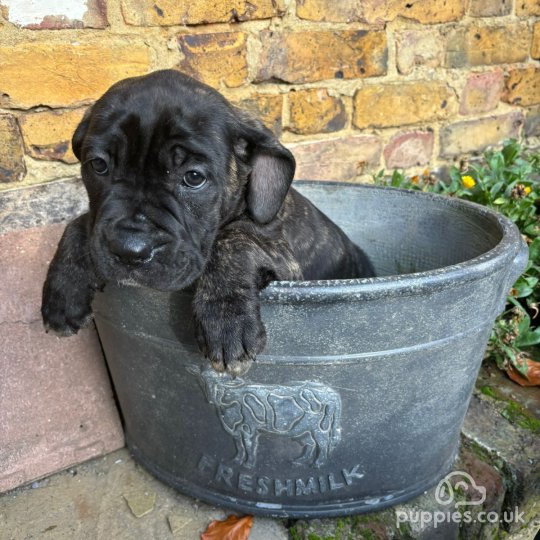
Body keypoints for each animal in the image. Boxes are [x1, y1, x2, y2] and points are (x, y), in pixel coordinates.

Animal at [42, 69, 374, 376]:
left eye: (193, 177)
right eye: (98, 165)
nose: (129, 250)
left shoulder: (287, 262)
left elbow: (233, 239)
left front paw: (226, 320)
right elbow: (81, 223)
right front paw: (63, 291)